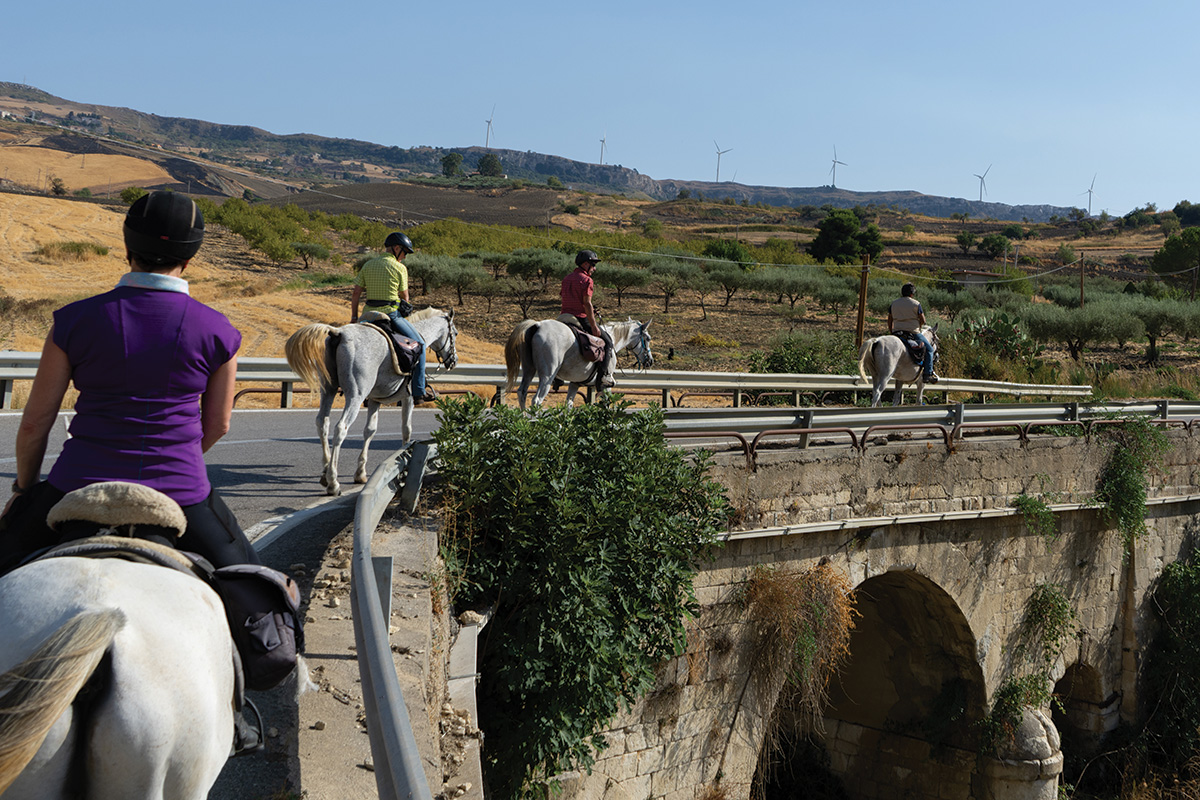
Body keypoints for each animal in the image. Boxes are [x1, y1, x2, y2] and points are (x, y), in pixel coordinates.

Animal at [285, 307, 458, 494]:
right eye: (455, 333)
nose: (453, 361)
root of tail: (339, 334)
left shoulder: (375, 400)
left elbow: (370, 430)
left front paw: (360, 473)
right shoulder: (408, 398)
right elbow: (406, 430)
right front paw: (404, 463)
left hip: (328, 390)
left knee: (322, 422)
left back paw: (325, 472)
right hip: (355, 395)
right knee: (340, 428)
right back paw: (333, 482)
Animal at [506, 316, 657, 410]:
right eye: (648, 338)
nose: (650, 361)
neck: (613, 338)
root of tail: (537, 325)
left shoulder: (575, 384)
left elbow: (568, 406)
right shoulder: (605, 385)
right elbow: (608, 405)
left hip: (529, 370)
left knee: (522, 393)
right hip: (547, 376)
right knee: (536, 400)